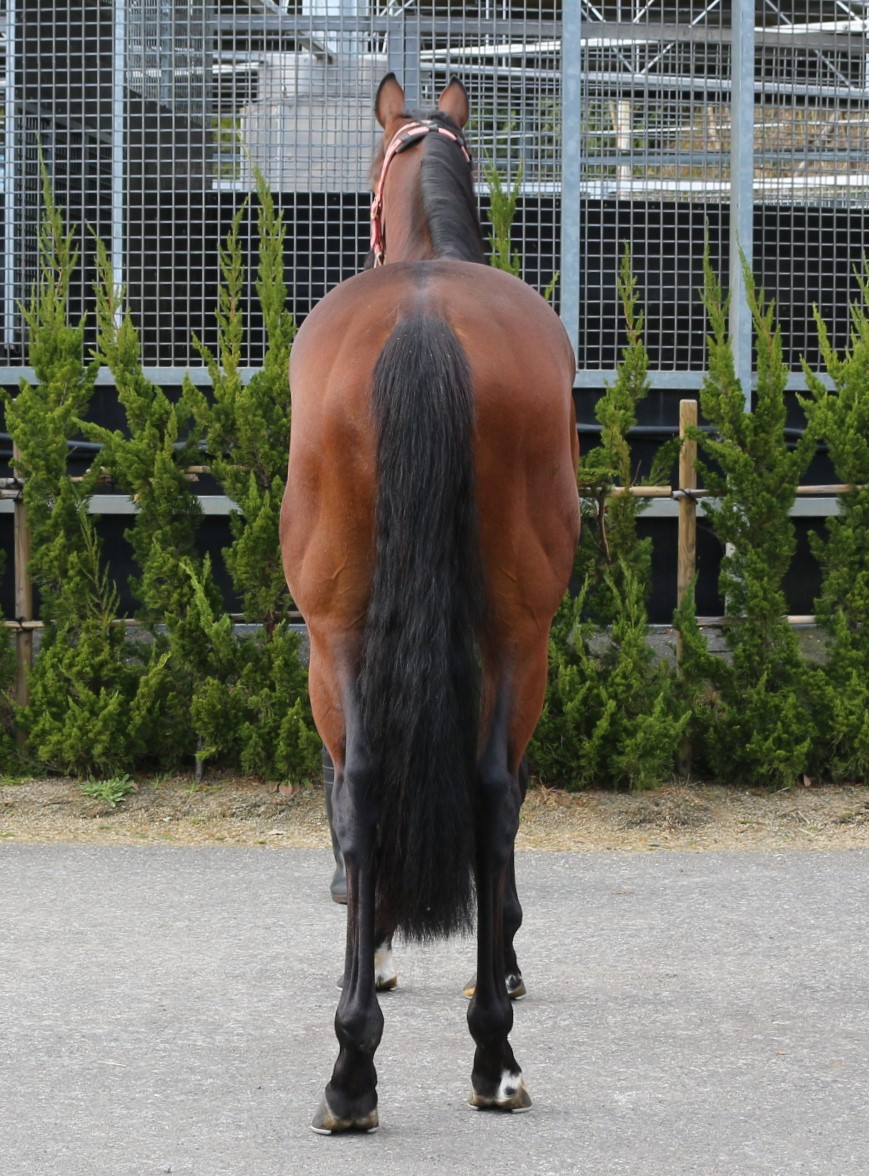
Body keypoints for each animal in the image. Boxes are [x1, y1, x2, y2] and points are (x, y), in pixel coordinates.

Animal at [280, 73, 580, 1134]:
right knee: (484, 793)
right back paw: (481, 1054)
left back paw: (362, 1066)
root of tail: (423, 322)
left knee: (368, 784)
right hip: (515, 635)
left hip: (341, 637)